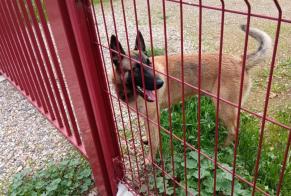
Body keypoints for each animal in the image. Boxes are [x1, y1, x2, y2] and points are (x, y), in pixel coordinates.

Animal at [110, 25, 274, 165]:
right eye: (135, 68)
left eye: (148, 63)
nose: (161, 82)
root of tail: (239, 60)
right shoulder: (146, 117)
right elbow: (150, 136)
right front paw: (146, 139)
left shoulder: (152, 117)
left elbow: (155, 141)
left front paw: (150, 159)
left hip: (223, 107)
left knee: (234, 130)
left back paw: (222, 148)